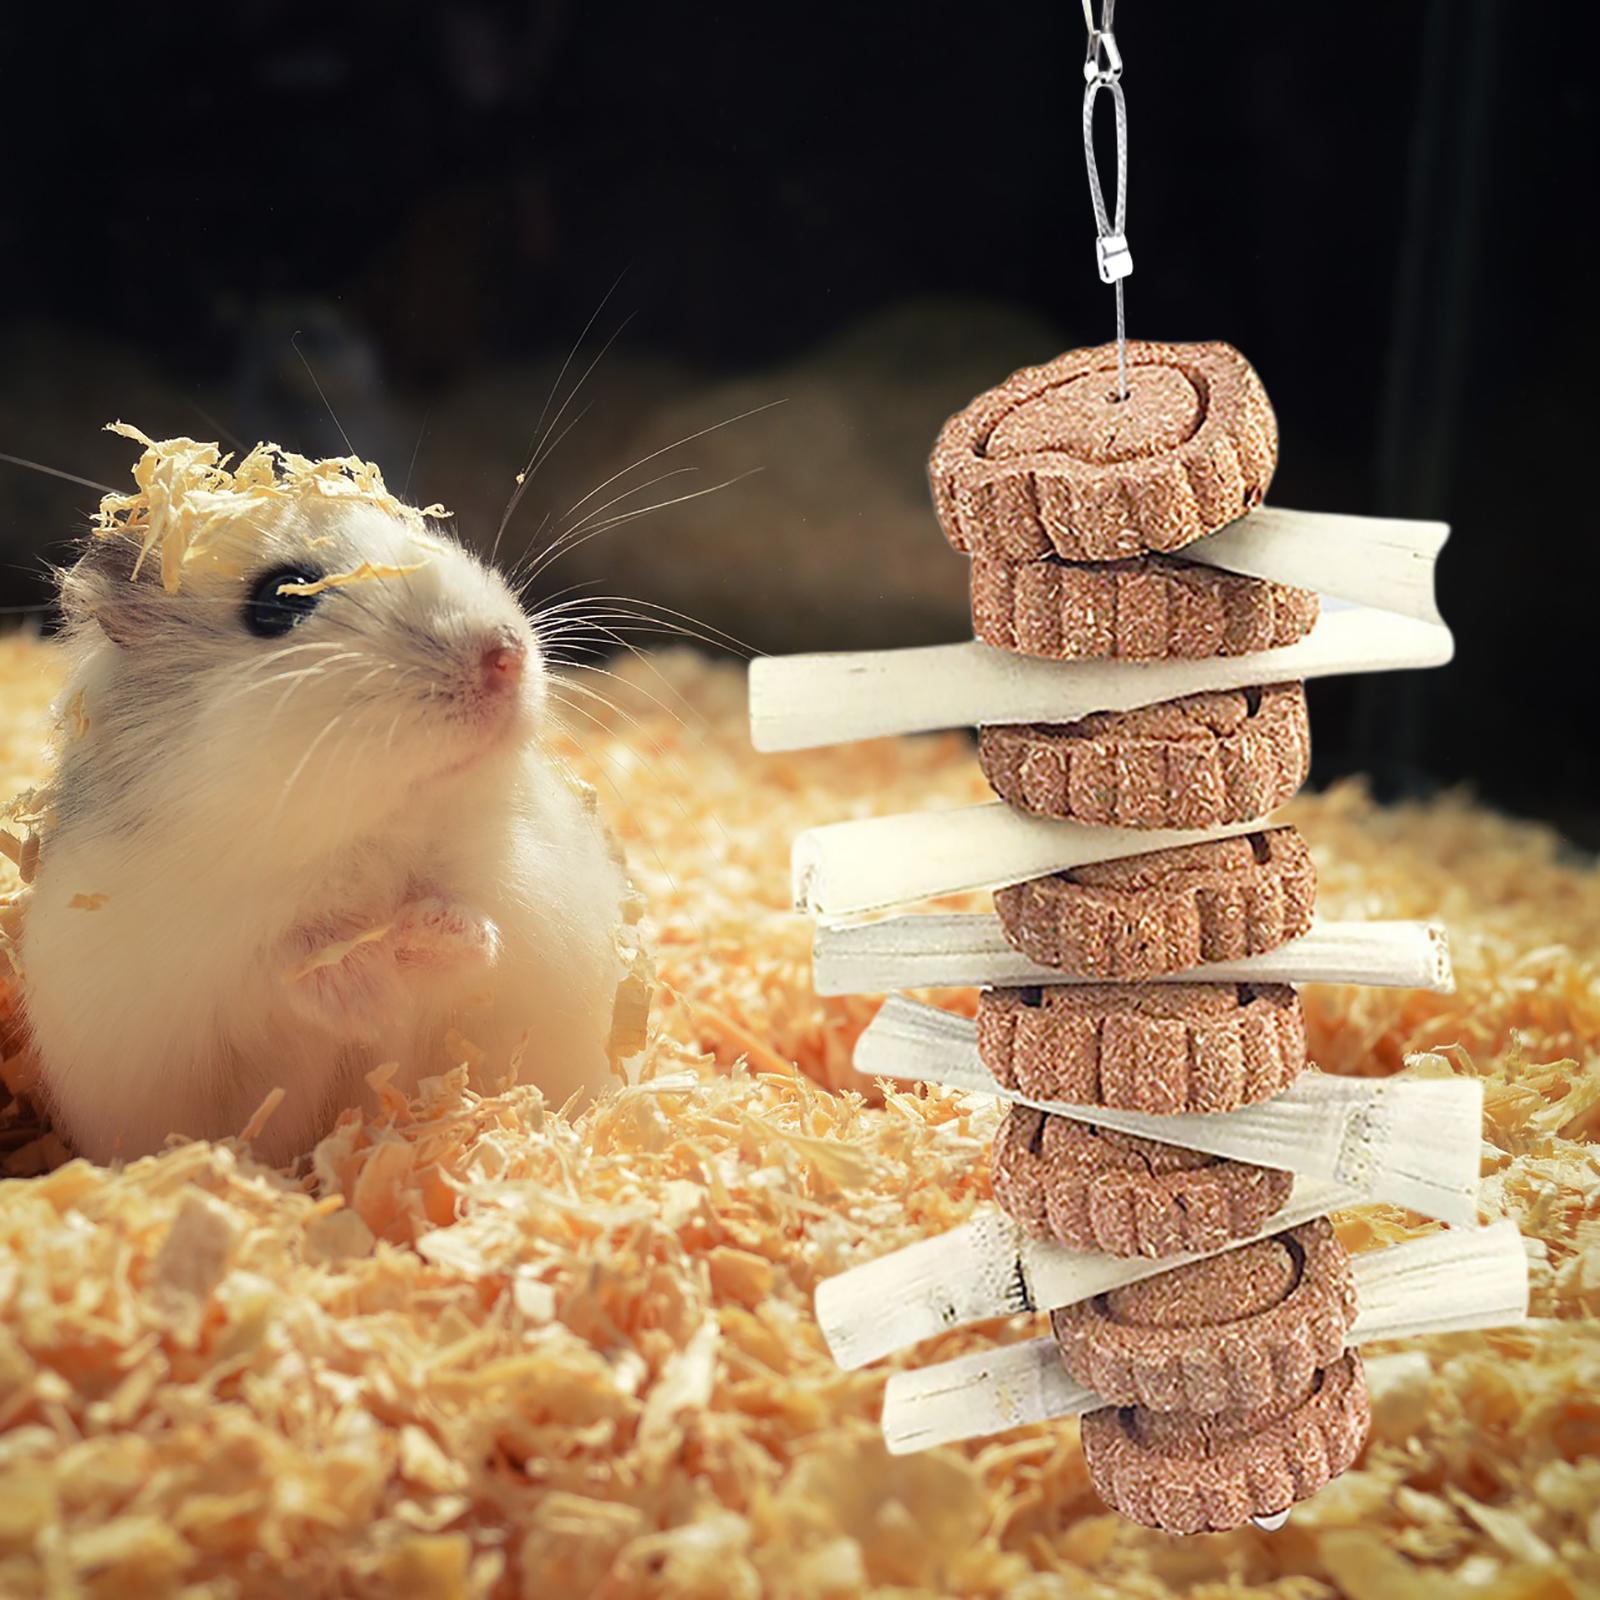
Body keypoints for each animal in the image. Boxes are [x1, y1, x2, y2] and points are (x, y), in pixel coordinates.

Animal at [19, 433, 631, 1166]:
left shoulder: (527, 887)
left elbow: (479, 924)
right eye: (279, 601)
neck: (369, 832)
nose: (505, 655)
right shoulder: (195, 953)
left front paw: (426, 938)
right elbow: (285, 963)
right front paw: (370, 984)